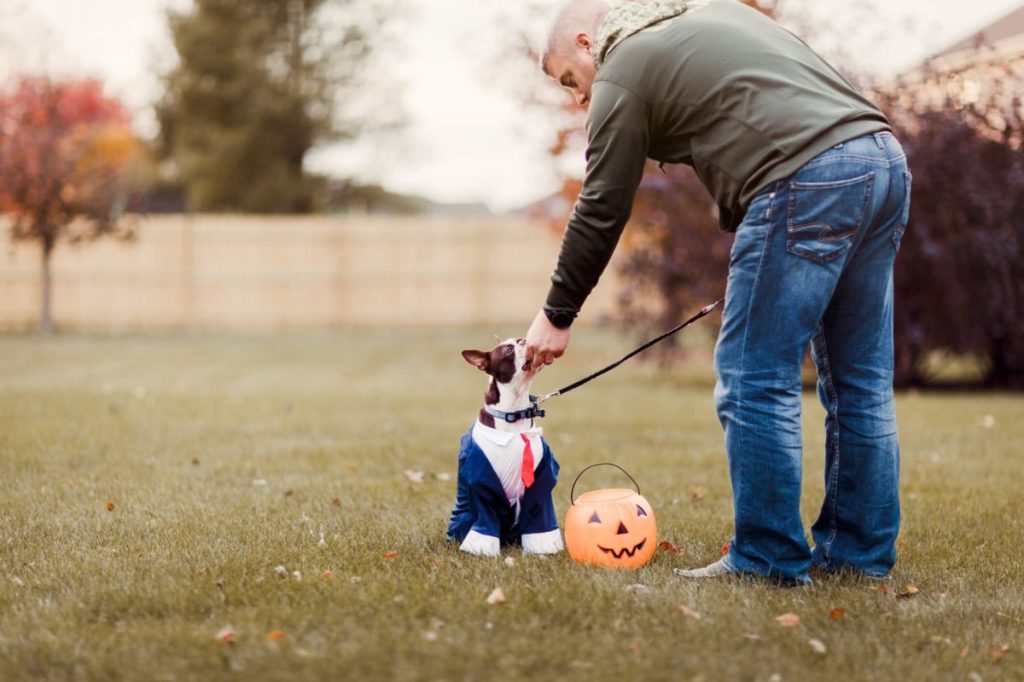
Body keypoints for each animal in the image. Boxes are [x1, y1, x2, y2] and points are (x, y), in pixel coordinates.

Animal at [446, 337, 565, 557]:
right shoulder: (481, 481)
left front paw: (541, 550)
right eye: (509, 349)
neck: (514, 414)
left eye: (519, 340)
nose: (525, 340)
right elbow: (485, 518)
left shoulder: (541, 478)